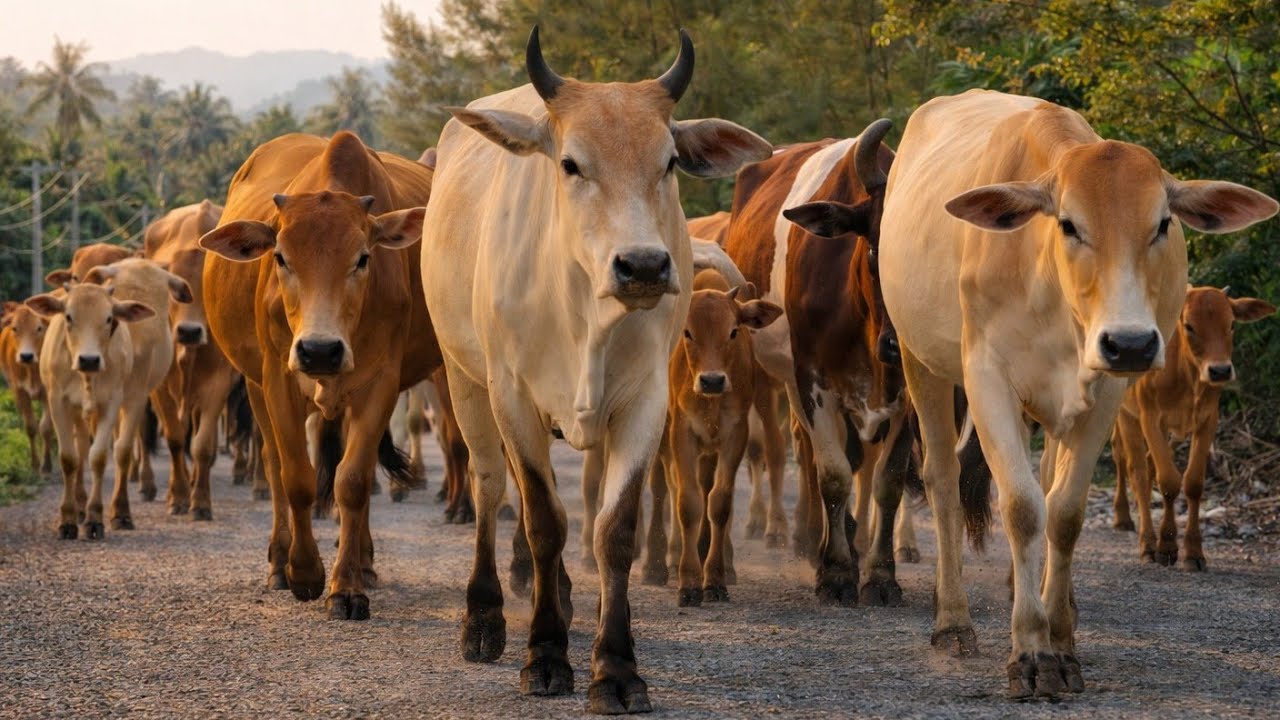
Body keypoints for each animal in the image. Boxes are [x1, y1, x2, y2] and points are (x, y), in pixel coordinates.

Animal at [1, 302, 54, 474]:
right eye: (15, 328)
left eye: (39, 328)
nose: (26, 356)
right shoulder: (20, 391)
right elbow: (31, 427)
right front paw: (35, 464)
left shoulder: (48, 393)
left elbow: (46, 427)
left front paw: (47, 464)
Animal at [27, 259, 190, 538]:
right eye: (69, 316)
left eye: (109, 318)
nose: (89, 360)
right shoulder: (58, 401)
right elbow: (70, 458)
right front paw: (69, 519)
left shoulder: (117, 401)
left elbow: (103, 456)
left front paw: (98, 518)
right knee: (81, 446)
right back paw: (80, 504)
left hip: (136, 396)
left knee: (116, 449)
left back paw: (115, 510)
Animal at [200, 131, 437, 619]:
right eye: (280, 257)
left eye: (363, 258)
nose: (320, 351)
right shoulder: (277, 380)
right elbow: (297, 478)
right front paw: (305, 574)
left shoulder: (381, 384)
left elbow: (353, 482)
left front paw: (346, 588)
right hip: (255, 387)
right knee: (272, 465)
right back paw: (278, 563)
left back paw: (363, 562)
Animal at [421, 27, 771, 713]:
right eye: (570, 163)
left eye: (669, 162)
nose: (644, 266)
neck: (583, 312)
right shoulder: (512, 397)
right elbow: (543, 521)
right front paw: (544, 656)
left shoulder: (645, 403)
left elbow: (613, 530)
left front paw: (615, 667)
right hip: (464, 379)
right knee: (491, 487)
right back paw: (485, 618)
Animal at [1111, 286, 1274, 569]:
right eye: (1188, 325)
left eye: (1232, 324)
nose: (1219, 370)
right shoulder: (1150, 418)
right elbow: (1168, 482)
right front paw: (1166, 546)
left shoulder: (1207, 421)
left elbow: (1193, 483)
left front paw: (1194, 552)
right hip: (1125, 414)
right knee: (1132, 468)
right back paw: (1137, 533)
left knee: (1147, 466)